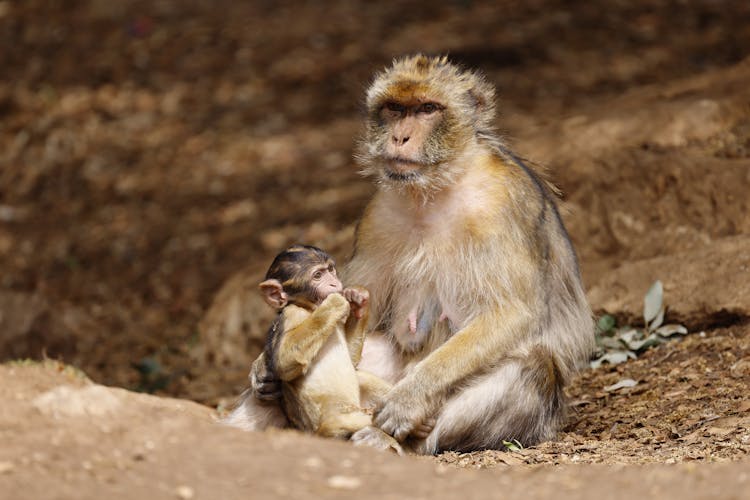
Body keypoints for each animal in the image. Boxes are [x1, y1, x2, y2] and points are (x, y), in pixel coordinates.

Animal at [253, 245, 406, 454]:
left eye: (330, 269)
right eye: (317, 275)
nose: (334, 283)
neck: (309, 309)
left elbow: (352, 360)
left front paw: (359, 299)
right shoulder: (292, 314)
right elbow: (284, 362)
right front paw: (335, 302)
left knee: (362, 378)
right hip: (331, 425)